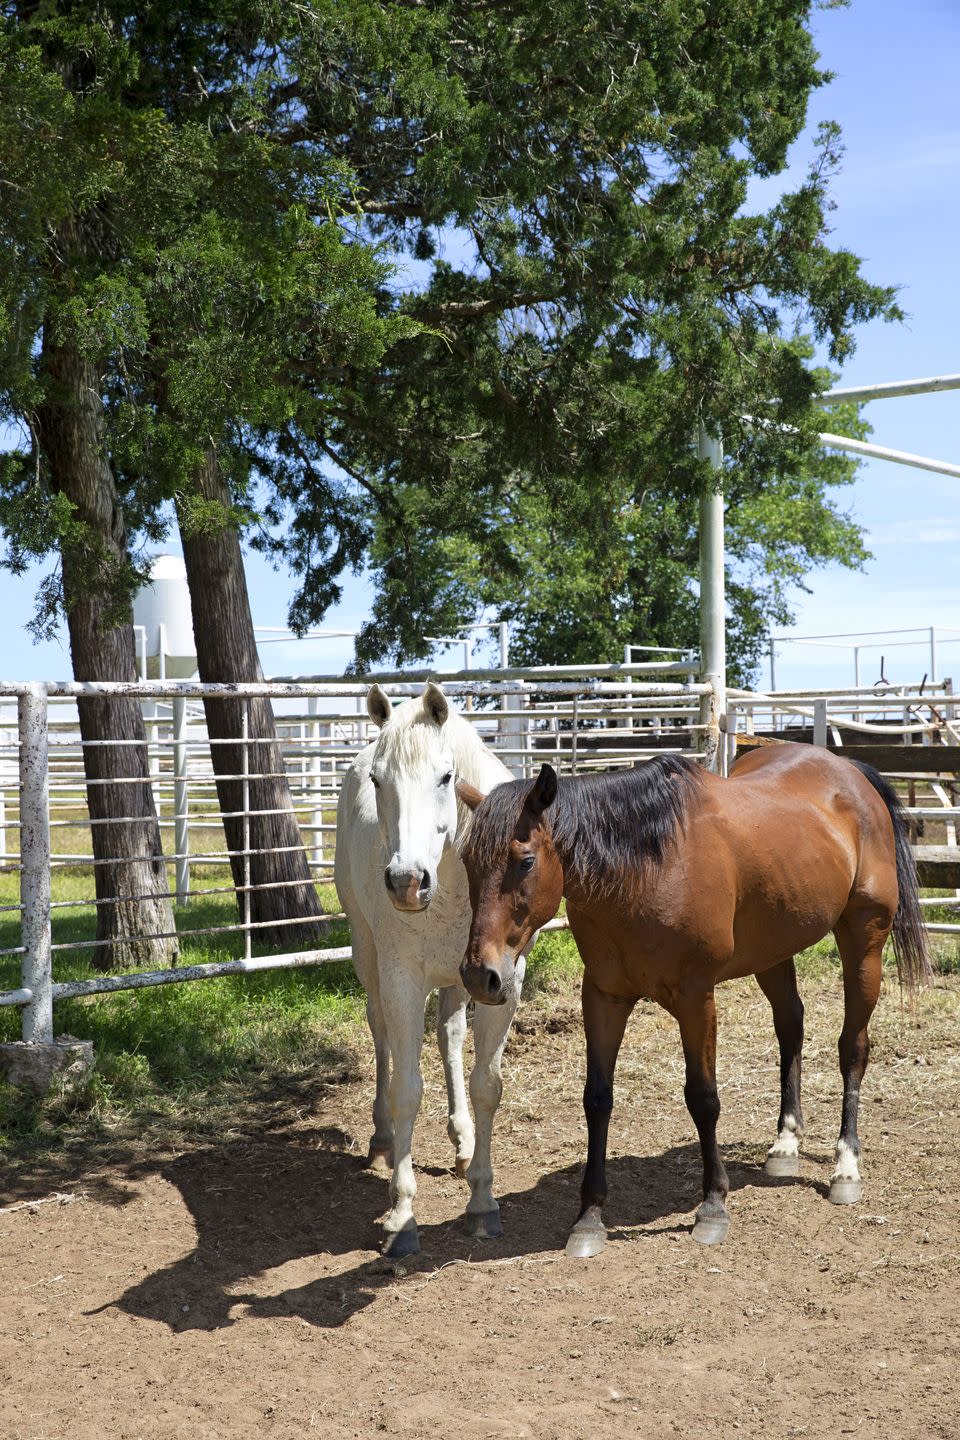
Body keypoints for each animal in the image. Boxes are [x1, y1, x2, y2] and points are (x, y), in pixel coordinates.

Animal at [332, 679, 526, 1255]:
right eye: (378, 780)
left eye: (445, 776)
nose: (406, 882)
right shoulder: (402, 980)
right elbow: (407, 1089)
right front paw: (402, 1216)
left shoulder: (502, 982)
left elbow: (487, 1084)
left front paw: (482, 1201)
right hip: (367, 953)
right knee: (380, 1034)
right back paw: (381, 1138)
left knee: (449, 1037)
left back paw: (461, 1139)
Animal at [457, 748, 932, 1255]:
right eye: (465, 860)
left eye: (525, 861)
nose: (479, 975)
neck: (646, 868)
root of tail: (849, 770)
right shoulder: (603, 997)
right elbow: (597, 1099)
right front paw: (589, 1217)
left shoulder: (696, 999)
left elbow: (703, 1098)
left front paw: (713, 1206)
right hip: (773, 951)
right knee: (791, 1026)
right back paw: (786, 1142)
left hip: (864, 944)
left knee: (853, 1048)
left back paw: (846, 1166)